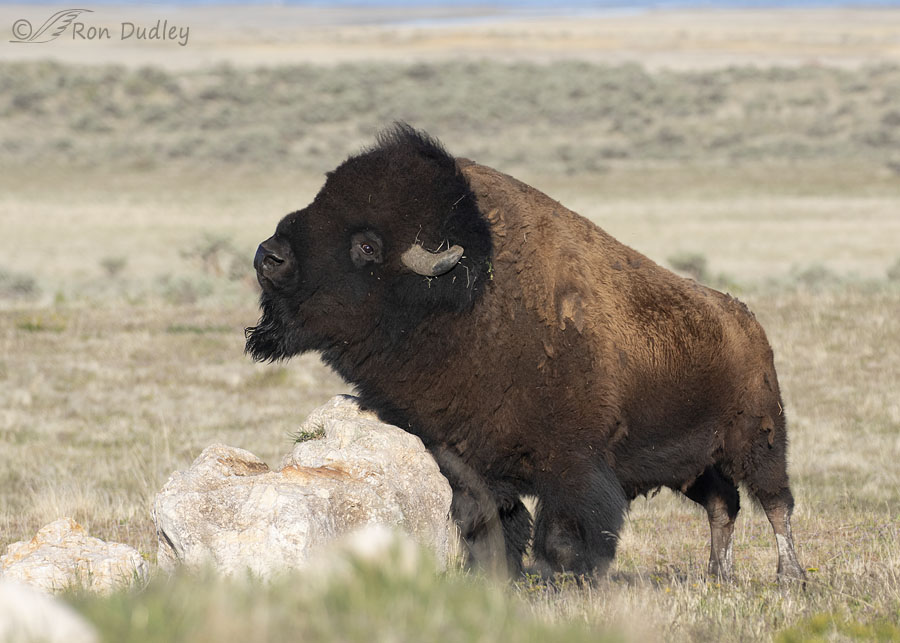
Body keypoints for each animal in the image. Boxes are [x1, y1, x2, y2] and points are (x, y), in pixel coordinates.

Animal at [246, 123, 805, 583]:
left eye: (366, 245)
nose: (268, 256)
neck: (470, 298)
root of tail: (748, 325)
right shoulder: (465, 458)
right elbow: (492, 522)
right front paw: (500, 579)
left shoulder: (575, 465)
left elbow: (565, 536)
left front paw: (570, 583)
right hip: (694, 462)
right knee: (723, 504)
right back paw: (718, 575)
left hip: (757, 439)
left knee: (774, 502)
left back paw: (789, 577)